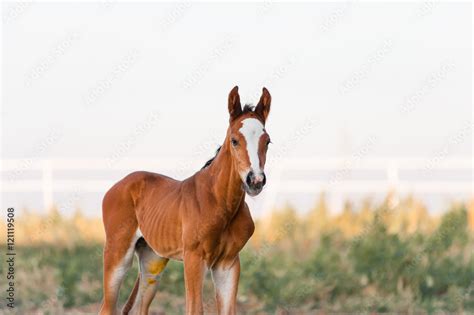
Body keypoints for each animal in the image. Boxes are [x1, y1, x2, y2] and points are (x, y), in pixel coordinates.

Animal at [99, 87, 270, 315]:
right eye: (234, 140)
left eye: (267, 141)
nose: (255, 180)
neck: (221, 202)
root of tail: (118, 185)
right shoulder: (194, 259)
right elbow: (194, 309)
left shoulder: (228, 264)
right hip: (117, 252)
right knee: (107, 307)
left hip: (152, 260)